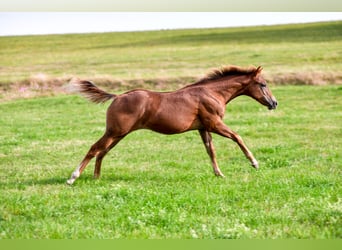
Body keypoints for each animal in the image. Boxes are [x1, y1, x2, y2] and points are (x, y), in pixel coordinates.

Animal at [67, 65, 278, 185]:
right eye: (263, 84)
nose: (274, 103)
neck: (212, 93)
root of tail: (117, 96)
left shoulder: (203, 128)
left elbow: (210, 150)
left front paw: (219, 174)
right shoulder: (214, 123)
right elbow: (237, 136)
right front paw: (254, 163)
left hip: (119, 134)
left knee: (102, 152)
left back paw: (96, 178)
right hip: (114, 131)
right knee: (94, 148)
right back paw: (73, 177)